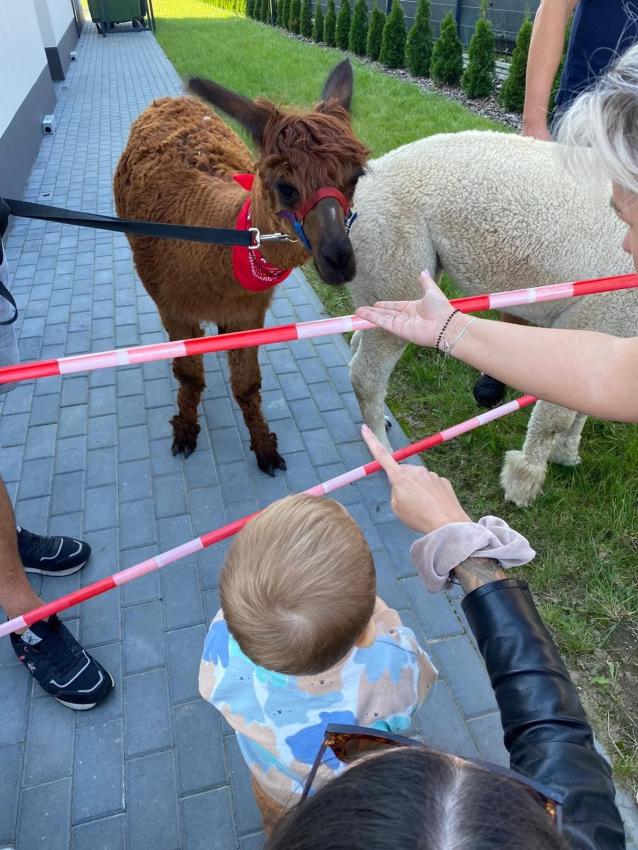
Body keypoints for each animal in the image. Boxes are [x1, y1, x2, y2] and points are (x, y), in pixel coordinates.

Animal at [114, 61, 369, 474]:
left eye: (355, 177)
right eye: (285, 187)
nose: (339, 259)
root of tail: (169, 99)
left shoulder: (250, 312)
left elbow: (247, 385)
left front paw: (264, 446)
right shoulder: (174, 308)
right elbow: (189, 376)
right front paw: (185, 430)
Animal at [348, 130, 635, 506]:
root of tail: (370, 176)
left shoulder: (609, 333)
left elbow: (583, 406)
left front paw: (567, 453)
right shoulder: (596, 315)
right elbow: (555, 416)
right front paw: (523, 482)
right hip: (395, 258)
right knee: (366, 374)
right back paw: (385, 454)